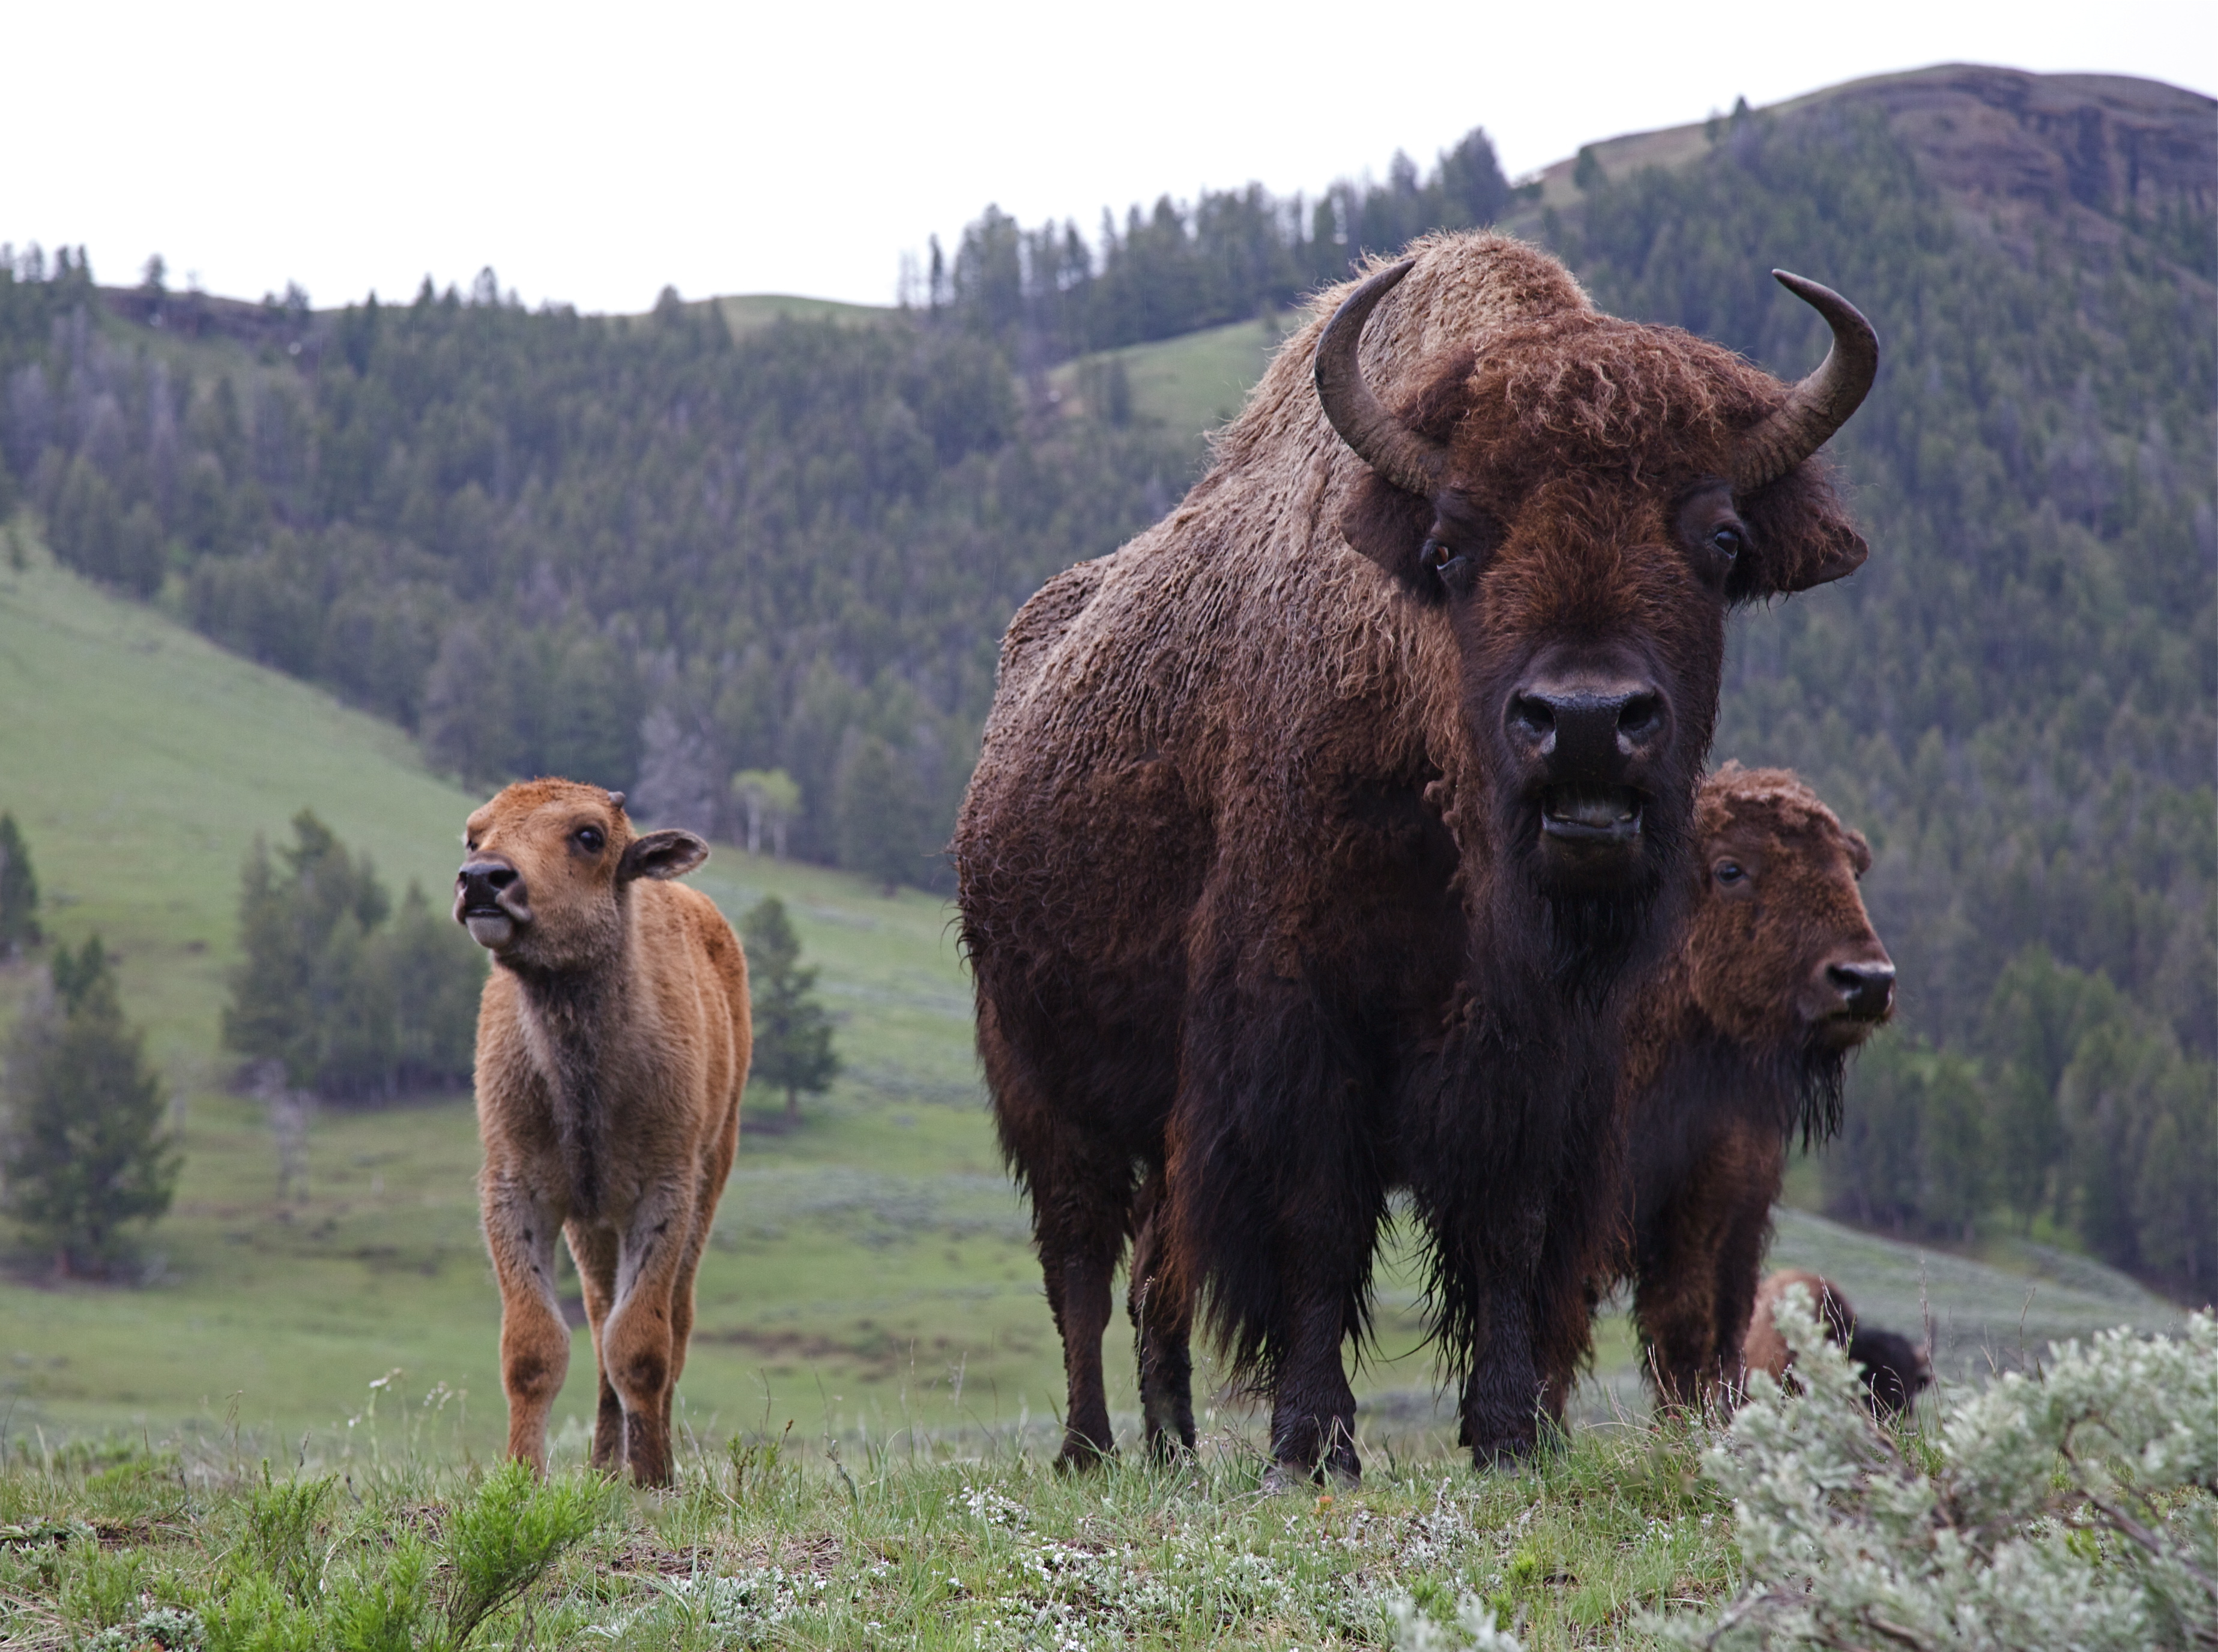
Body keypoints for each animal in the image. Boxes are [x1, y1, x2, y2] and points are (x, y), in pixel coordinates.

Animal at [455, 780, 749, 1490]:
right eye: (474, 835)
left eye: (589, 835)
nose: (483, 879)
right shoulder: (520, 1192)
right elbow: (534, 1346)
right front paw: (524, 1476)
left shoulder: (664, 1194)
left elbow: (641, 1343)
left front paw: (653, 1479)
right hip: (592, 1225)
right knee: (598, 1317)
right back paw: (604, 1464)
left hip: (709, 1174)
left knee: (676, 1322)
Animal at [962, 232, 1881, 1481]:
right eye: (1450, 543)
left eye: (1721, 538)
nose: (1583, 722)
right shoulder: (1302, 1028)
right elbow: (1316, 1224)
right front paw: (1312, 1444)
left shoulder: (1544, 1060)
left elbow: (1509, 1232)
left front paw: (1503, 1435)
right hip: (1043, 1083)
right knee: (1080, 1265)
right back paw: (1089, 1450)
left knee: (1153, 1273)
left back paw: (1174, 1451)